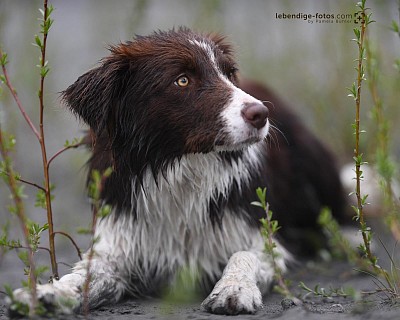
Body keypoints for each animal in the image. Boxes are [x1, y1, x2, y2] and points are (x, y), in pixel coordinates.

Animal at [10, 27, 346, 316]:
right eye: (182, 81)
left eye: (228, 73)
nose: (261, 114)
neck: (179, 169)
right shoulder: (121, 240)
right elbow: (86, 275)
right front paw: (48, 293)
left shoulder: (259, 236)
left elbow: (244, 254)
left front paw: (233, 288)